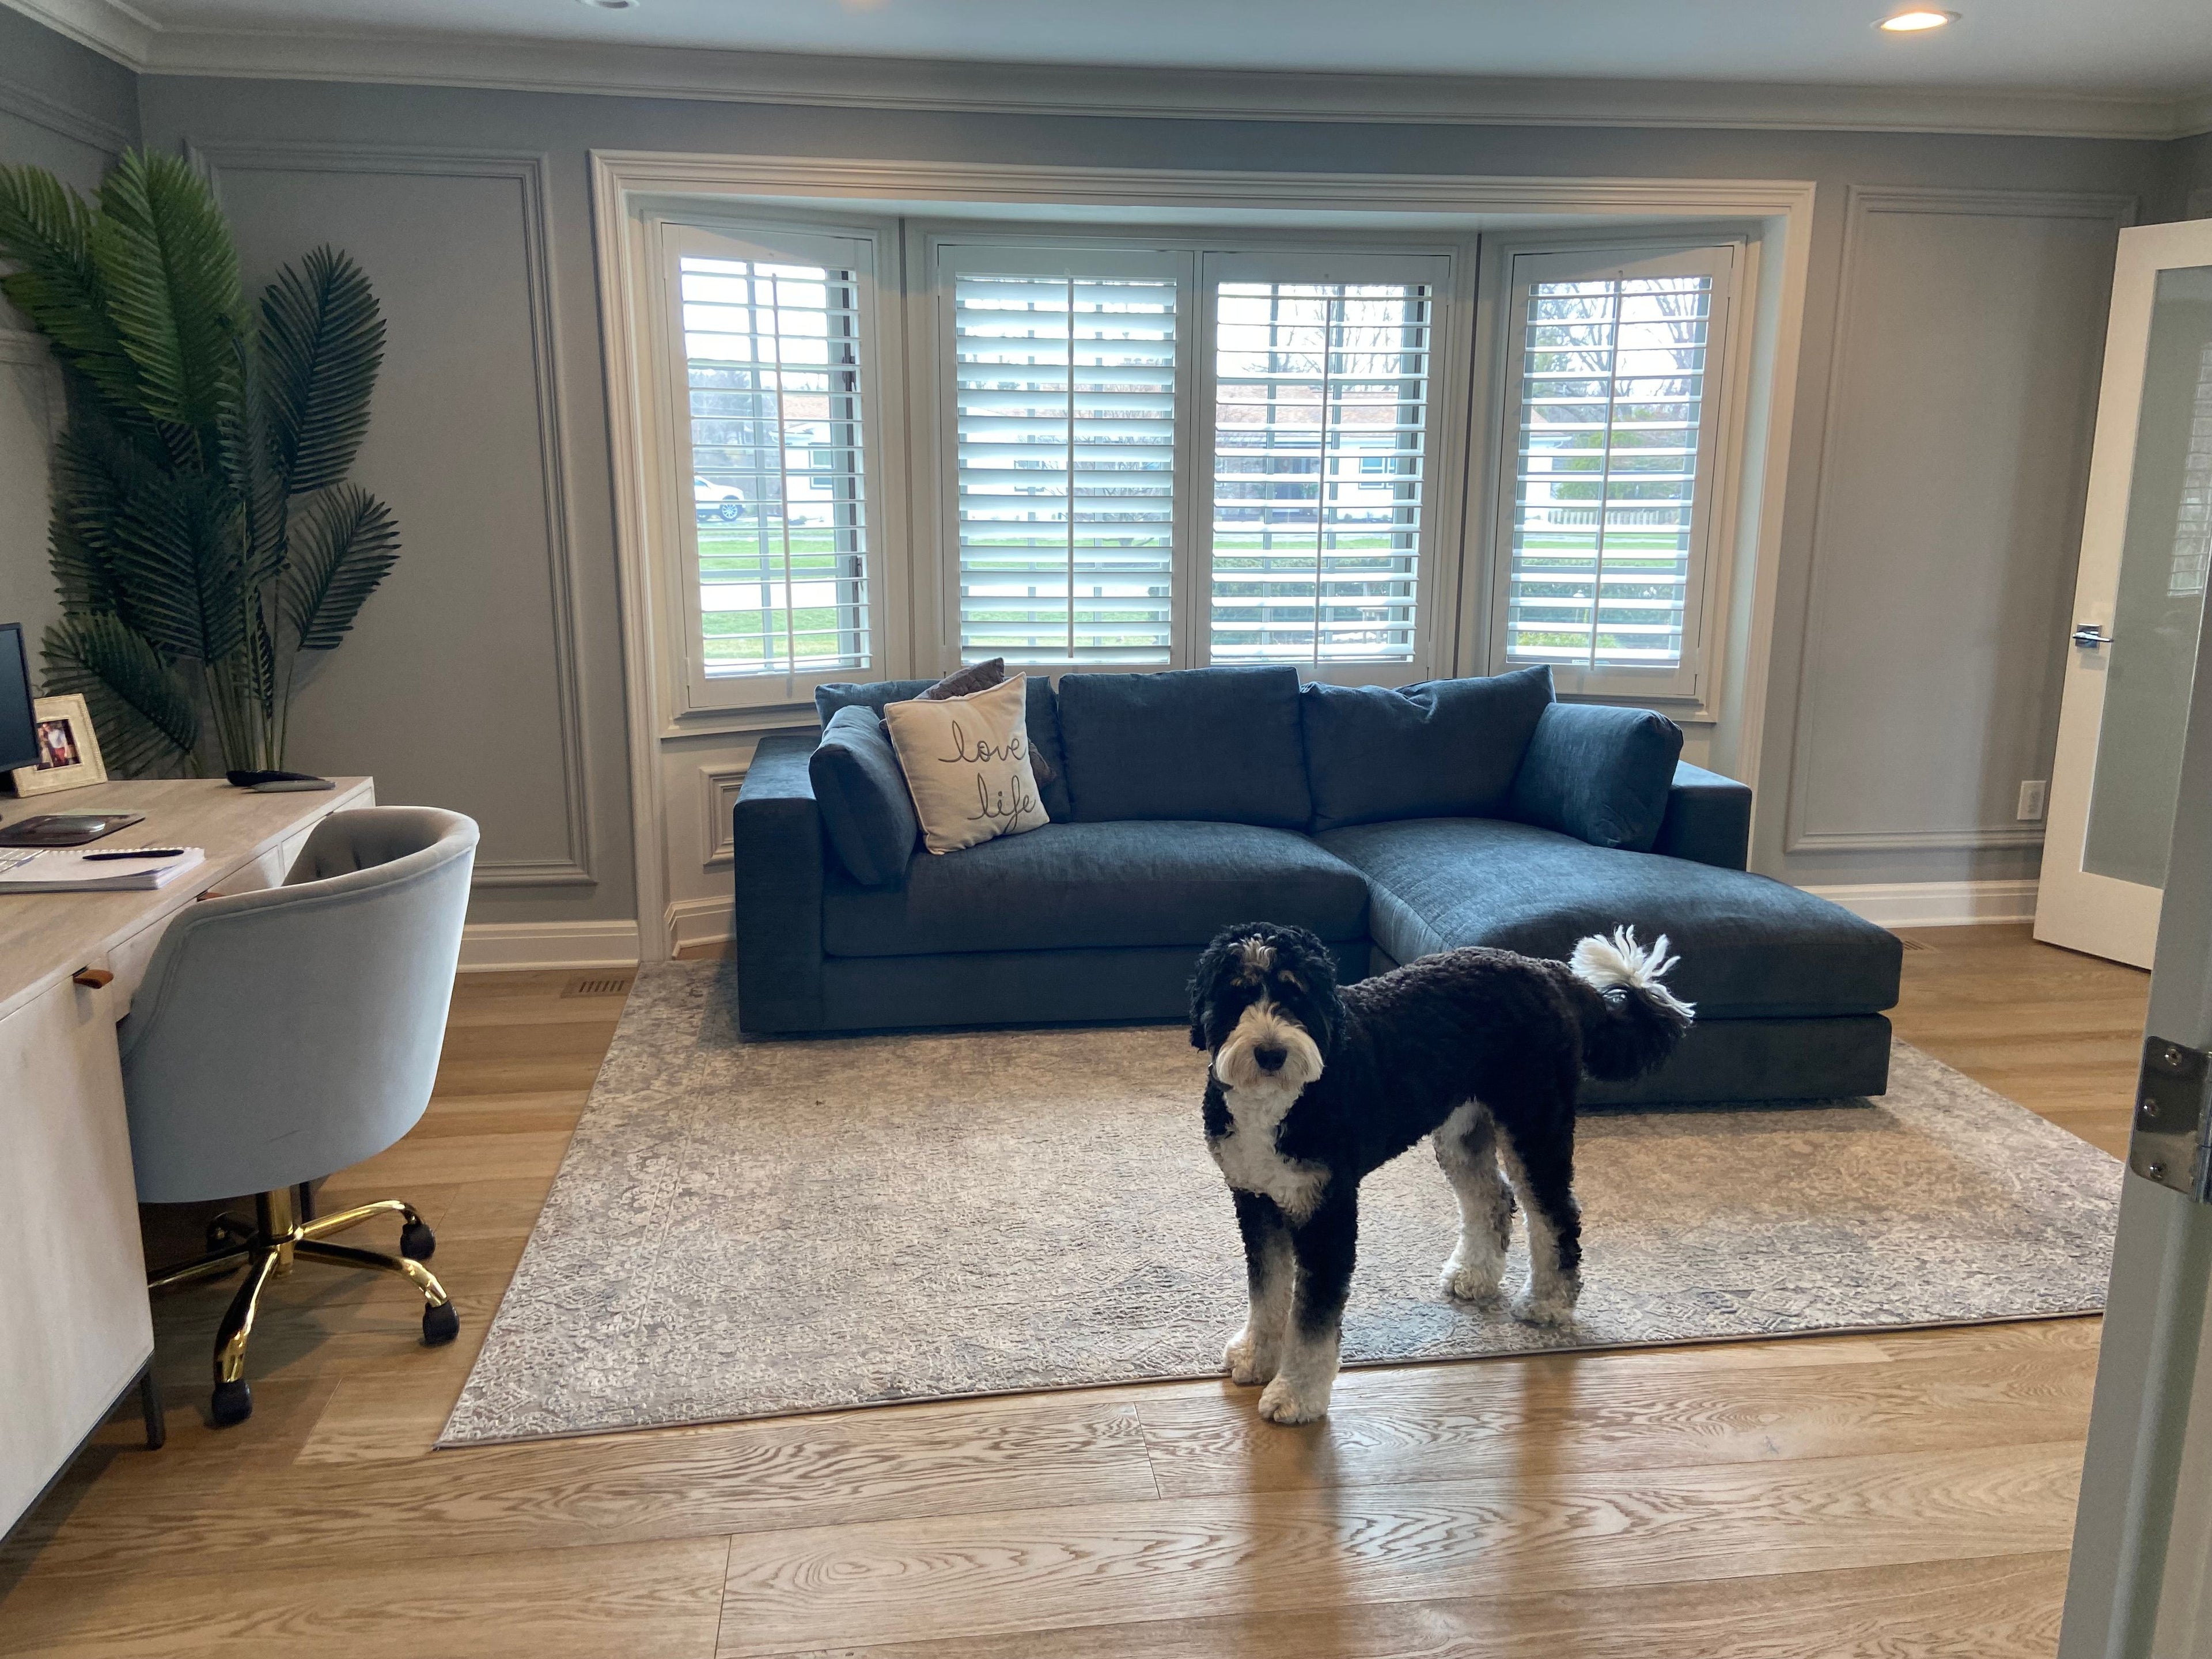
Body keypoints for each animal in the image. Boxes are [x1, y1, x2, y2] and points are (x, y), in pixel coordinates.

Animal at [1194, 925, 1690, 1433]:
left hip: (1535, 1124)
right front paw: (1256, 1356)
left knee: (1555, 1214)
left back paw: (1548, 1303)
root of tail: (1549, 971)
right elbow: (1267, 1289)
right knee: (1492, 1198)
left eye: (1298, 994)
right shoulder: (1255, 1198)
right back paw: (1476, 1275)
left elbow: (1313, 1317)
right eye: (1237, 995)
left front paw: (1296, 1395)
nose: (1271, 1053)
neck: (1282, 1103)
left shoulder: (1328, 1213)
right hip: (1463, 1131)